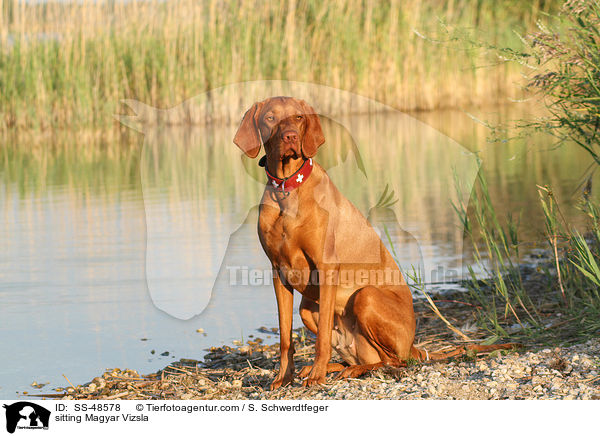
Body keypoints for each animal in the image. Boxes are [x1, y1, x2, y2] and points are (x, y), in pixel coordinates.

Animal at [232, 96, 512, 388]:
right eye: (270, 118)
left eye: (298, 118)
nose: (291, 136)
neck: (287, 189)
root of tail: (414, 345)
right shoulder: (279, 273)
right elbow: (285, 338)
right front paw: (283, 378)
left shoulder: (326, 268)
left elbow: (321, 340)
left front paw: (317, 376)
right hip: (308, 309)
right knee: (362, 357)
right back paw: (329, 368)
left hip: (365, 298)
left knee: (394, 361)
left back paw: (343, 370)